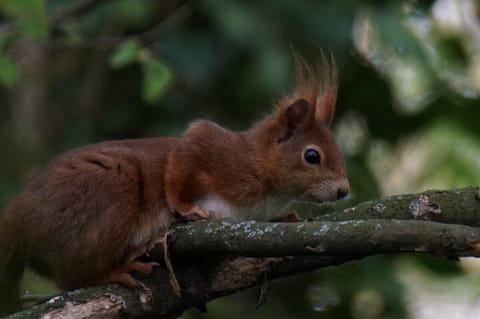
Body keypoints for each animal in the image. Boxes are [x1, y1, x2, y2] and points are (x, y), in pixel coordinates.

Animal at [0, 56, 348, 316]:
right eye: (312, 156)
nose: (344, 190)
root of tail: (19, 219)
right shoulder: (217, 152)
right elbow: (183, 161)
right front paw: (186, 208)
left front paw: (285, 218)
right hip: (113, 191)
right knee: (71, 277)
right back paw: (116, 270)